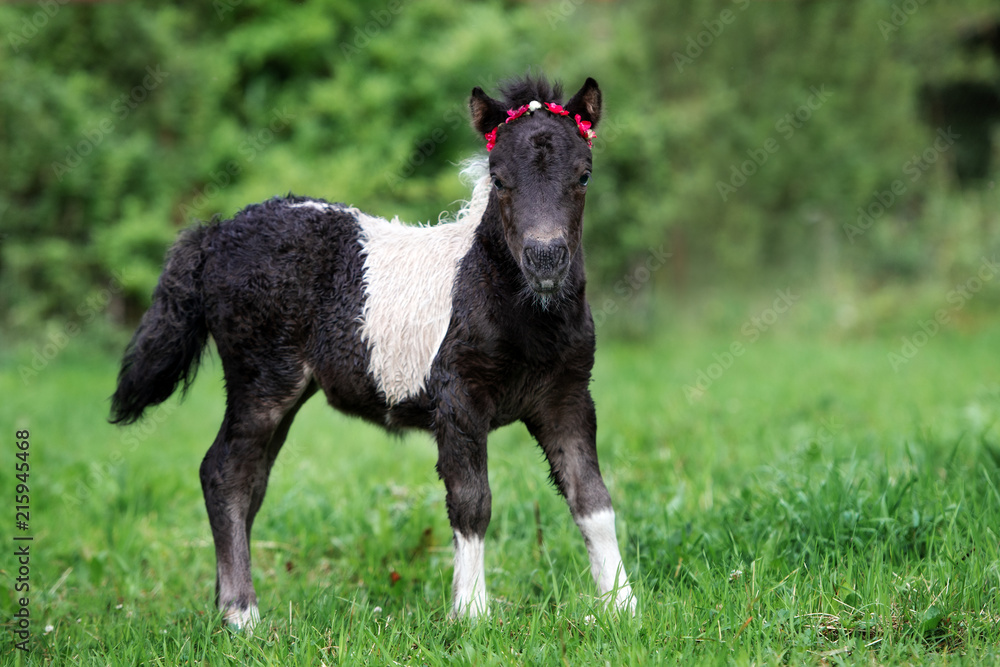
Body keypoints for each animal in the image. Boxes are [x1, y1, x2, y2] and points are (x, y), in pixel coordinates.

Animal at [113, 75, 636, 628]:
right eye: (498, 179)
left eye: (584, 175)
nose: (545, 259)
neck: (521, 315)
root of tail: (213, 235)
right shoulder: (458, 397)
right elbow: (472, 502)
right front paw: (471, 614)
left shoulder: (567, 397)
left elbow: (593, 500)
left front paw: (623, 608)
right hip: (262, 380)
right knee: (224, 475)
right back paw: (242, 615)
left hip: (285, 392)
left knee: (249, 482)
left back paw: (223, 605)